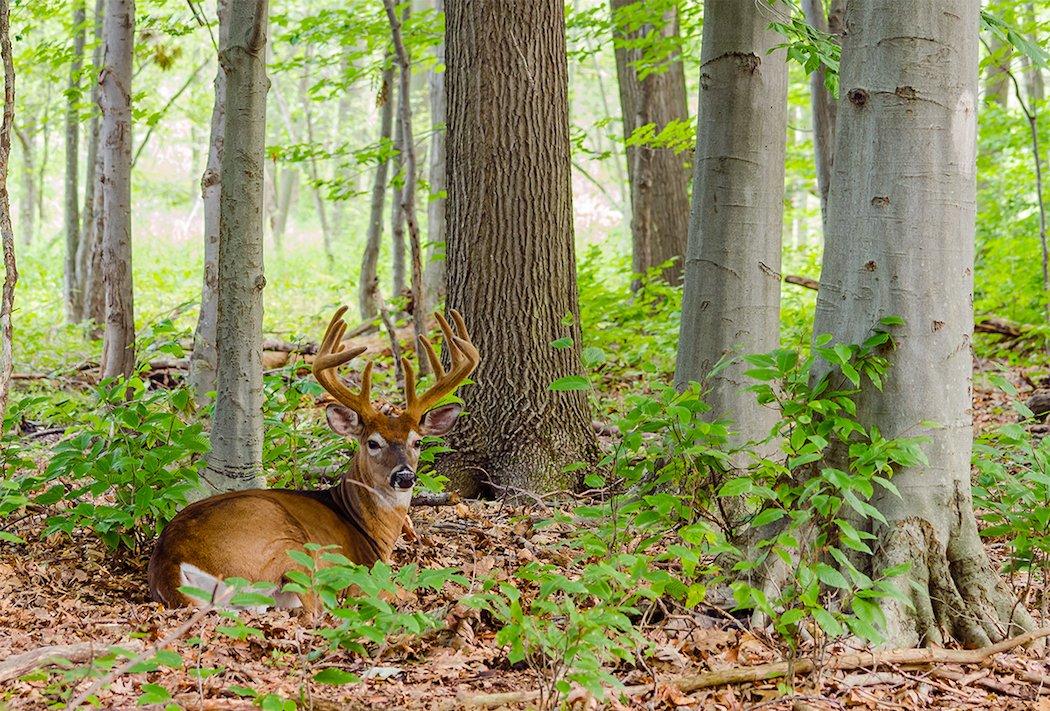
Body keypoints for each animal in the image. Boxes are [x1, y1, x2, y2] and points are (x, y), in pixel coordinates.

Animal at [145, 308, 478, 613]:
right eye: (373, 443)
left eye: (417, 442)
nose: (404, 476)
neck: (368, 529)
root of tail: (170, 559)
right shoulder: (366, 572)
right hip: (284, 547)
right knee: (313, 608)